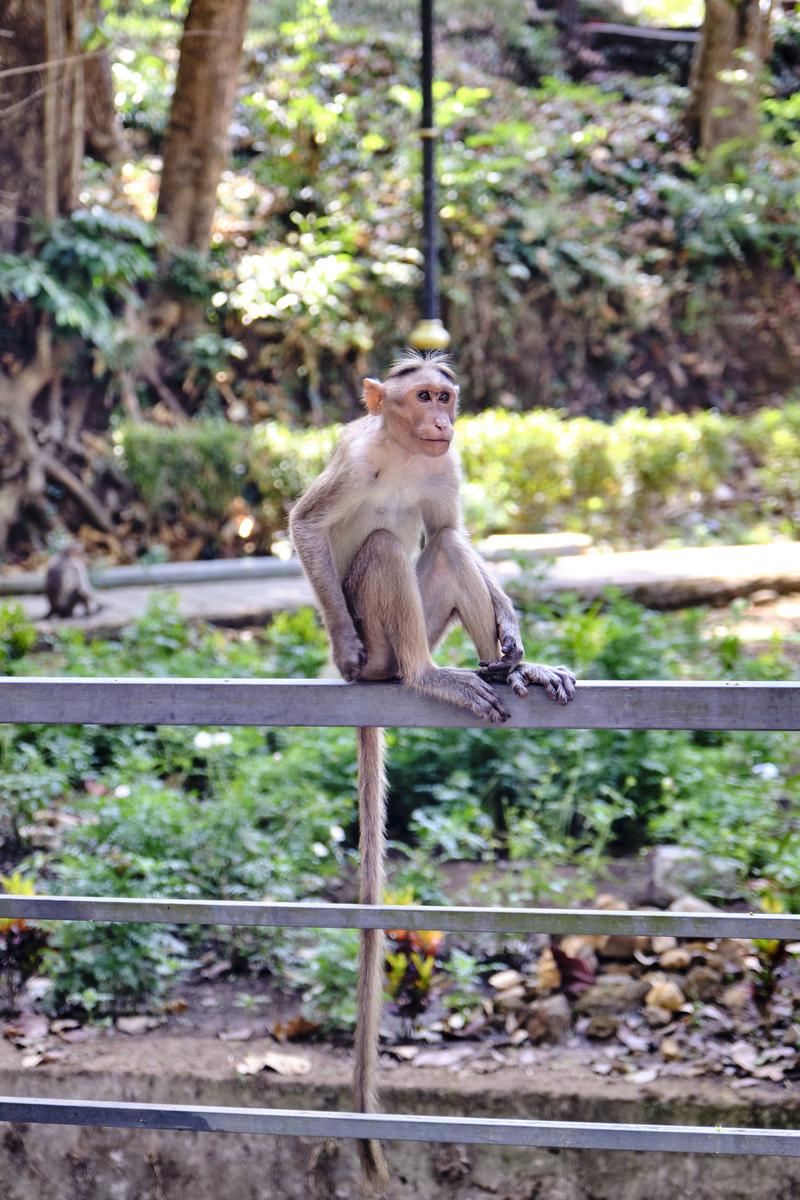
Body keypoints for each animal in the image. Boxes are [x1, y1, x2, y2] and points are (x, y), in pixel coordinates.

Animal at [291, 350, 578, 1190]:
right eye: (422, 396)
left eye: (445, 398)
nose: (443, 421)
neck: (402, 450)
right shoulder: (353, 456)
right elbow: (308, 524)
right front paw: (343, 641)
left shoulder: (446, 467)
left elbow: (452, 530)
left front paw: (513, 627)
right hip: (385, 646)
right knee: (385, 554)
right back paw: (422, 674)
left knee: (442, 553)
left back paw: (510, 669)